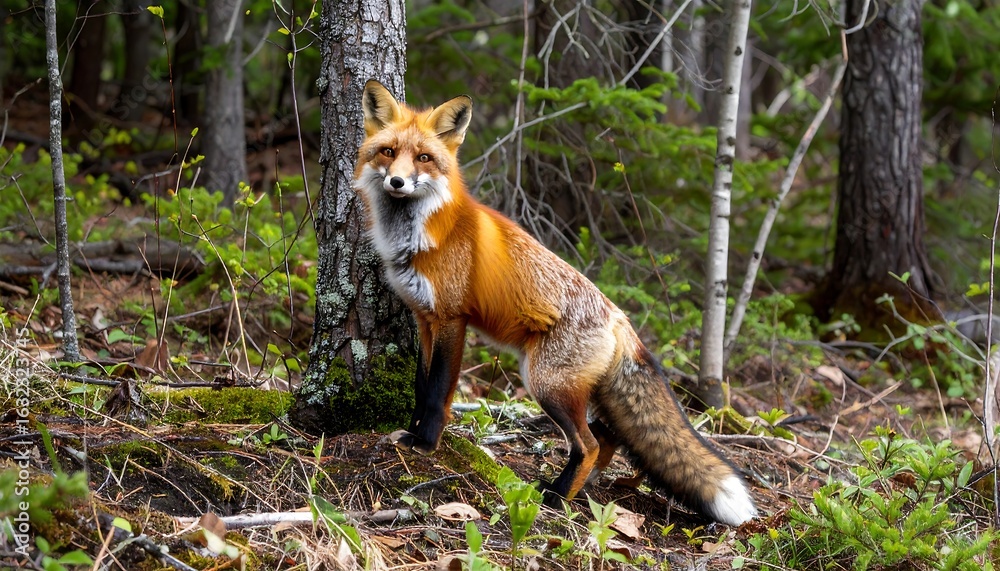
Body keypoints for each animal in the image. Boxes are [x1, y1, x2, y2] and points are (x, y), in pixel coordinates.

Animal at [353, 80, 758, 526]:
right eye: (388, 152)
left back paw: (557, 496)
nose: (397, 182)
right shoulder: (425, 319)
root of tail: (619, 318)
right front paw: (410, 428)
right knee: (607, 438)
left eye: (424, 158)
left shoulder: (451, 319)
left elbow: (439, 391)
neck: (422, 233)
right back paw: (582, 486)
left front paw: (425, 442)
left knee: (589, 443)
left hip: (544, 382)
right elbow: (422, 385)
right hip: (565, 387)